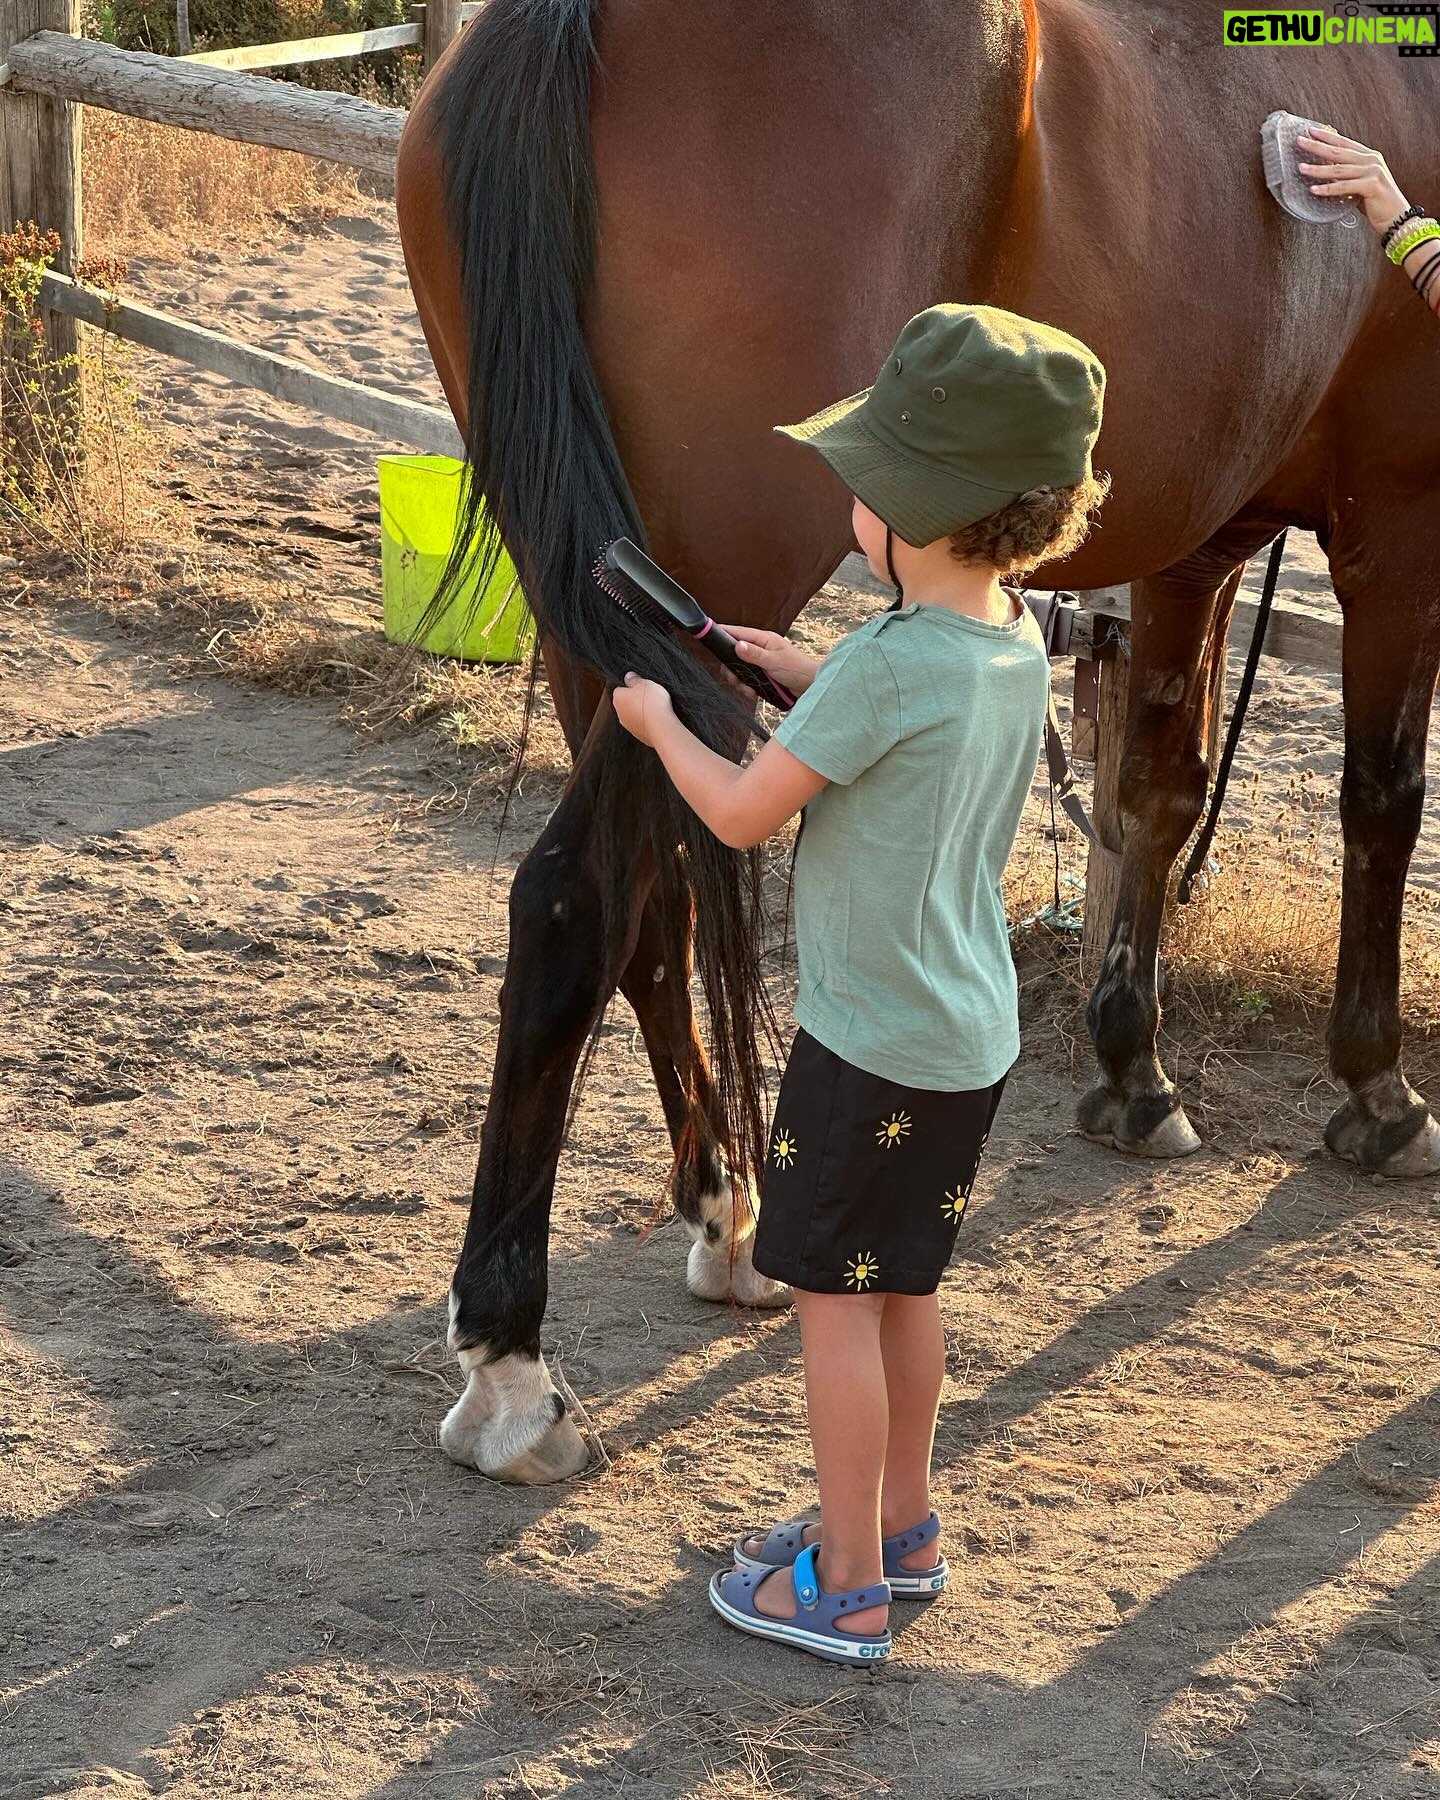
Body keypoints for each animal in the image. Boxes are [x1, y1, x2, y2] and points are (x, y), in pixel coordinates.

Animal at [395, 0, 1440, 1482]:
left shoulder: (1201, 538)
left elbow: (1156, 793)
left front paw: (1133, 1069)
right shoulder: (1400, 525)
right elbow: (1381, 800)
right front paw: (1379, 1090)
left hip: (602, 612)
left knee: (655, 904)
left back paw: (724, 1209)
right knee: (574, 901)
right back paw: (512, 1367)